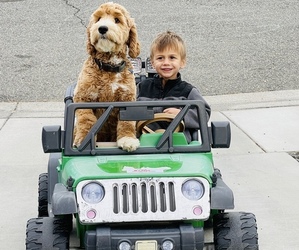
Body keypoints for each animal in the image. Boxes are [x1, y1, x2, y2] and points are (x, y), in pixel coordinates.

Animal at [74, 1, 142, 151]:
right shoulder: (83, 97)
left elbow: (127, 122)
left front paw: (128, 139)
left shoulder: (127, 98)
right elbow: (86, 119)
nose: (102, 28)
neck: (109, 67)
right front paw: (84, 139)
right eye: (98, 19)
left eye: (117, 20)